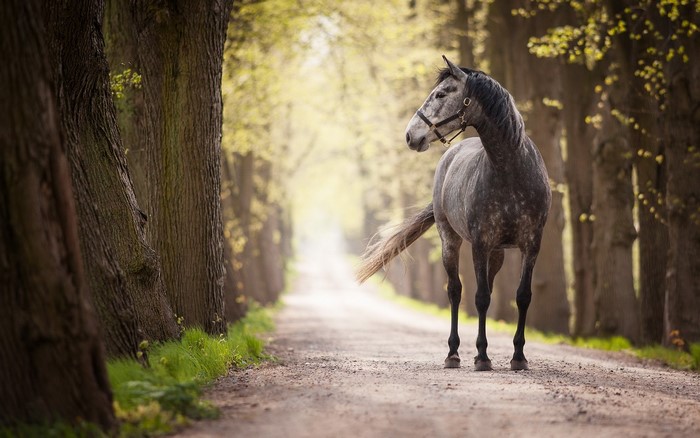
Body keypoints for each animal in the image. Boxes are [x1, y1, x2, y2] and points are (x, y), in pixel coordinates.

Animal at [356, 56, 551, 371]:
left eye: (441, 94)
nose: (410, 136)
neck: (511, 172)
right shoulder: (479, 244)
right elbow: (480, 298)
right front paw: (482, 357)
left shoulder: (531, 245)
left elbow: (522, 296)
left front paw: (519, 357)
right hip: (451, 241)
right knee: (456, 291)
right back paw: (453, 353)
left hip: (497, 253)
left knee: (488, 288)